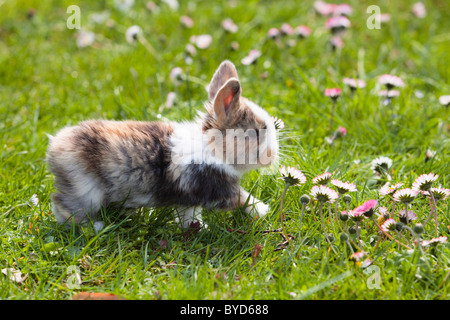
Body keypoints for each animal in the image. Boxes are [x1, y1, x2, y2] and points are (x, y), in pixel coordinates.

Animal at [45, 60, 278, 230]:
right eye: (255, 132)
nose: (272, 155)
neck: (212, 148)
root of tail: (55, 145)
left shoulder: (189, 199)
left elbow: (189, 215)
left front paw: (197, 228)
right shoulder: (218, 189)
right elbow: (242, 198)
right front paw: (263, 210)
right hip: (85, 190)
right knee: (63, 206)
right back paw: (95, 227)